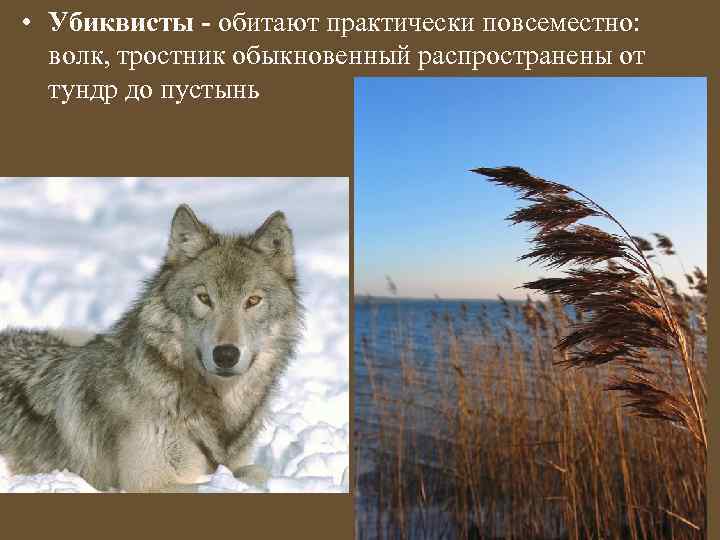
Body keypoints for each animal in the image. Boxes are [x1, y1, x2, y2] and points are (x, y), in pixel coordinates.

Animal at [0, 204, 302, 492]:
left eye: (252, 301)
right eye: (205, 298)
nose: (226, 354)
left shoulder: (237, 461)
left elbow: (256, 471)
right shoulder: (148, 483)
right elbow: (233, 481)